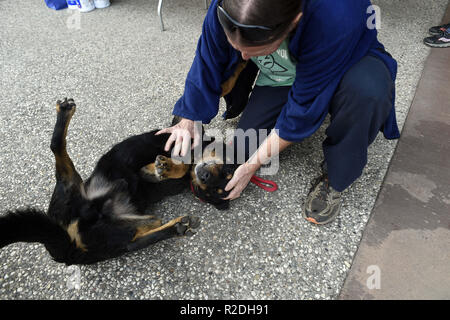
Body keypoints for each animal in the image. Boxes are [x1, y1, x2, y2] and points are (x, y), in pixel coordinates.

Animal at [0, 97, 237, 264]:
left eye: (211, 191)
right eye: (226, 170)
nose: (204, 177)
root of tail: (70, 248)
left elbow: (180, 167)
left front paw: (166, 167)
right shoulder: (179, 131)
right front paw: (167, 166)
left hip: (115, 226)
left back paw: (177, 226)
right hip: (76, 193)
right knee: (56, 147)